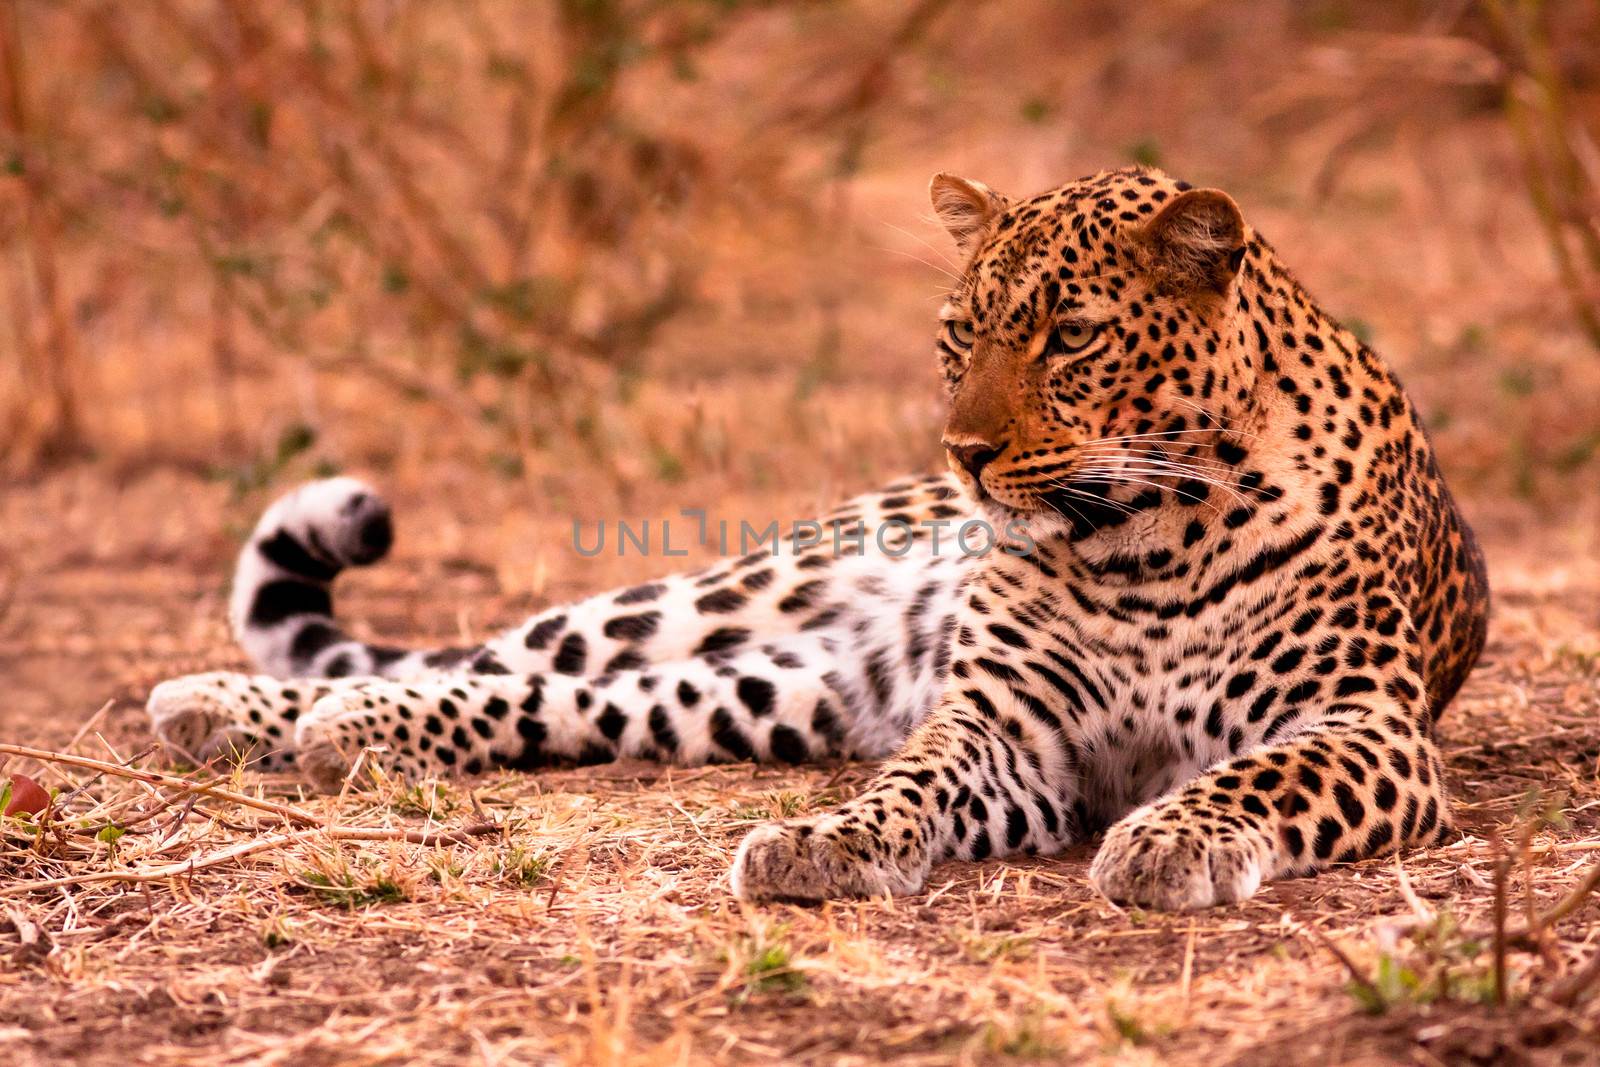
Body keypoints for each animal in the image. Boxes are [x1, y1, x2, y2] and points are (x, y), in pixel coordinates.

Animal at [147, 167, 1484, 908]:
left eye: (1070, 337)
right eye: (959, 331)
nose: (967, 454)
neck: (1145, 541)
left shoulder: (1364, 726)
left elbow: (1253, 774)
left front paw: (1166, 841)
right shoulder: (1000, 727)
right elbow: (910, 785)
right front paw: (824, 839)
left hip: (769, 693)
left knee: (552, 697)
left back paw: (329, 725)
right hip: (728, 593)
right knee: (495, 656)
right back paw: (229, 704)